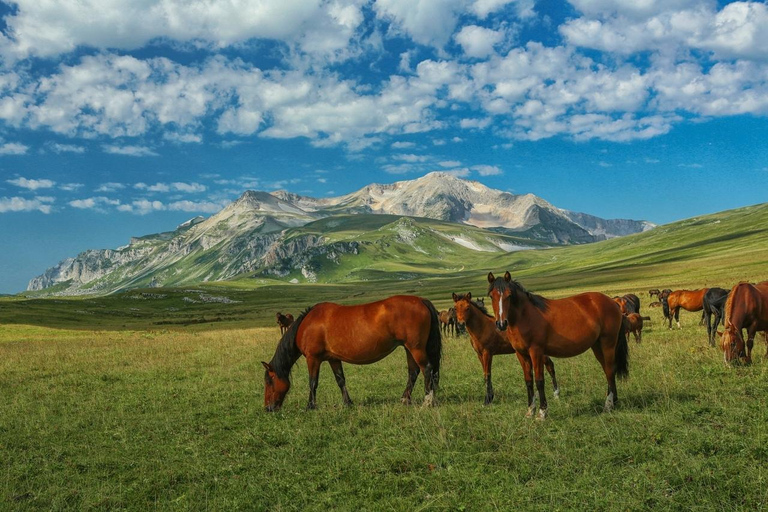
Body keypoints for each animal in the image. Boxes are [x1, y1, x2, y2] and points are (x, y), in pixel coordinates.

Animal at [264, 294, 440, 410]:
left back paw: (427, 401)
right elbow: (340, 380)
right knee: (413, 372)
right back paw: (405, 399)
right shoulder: (333, 359)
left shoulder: (313, 359)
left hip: (415, 348)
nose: (268, 408)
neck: (307, 325)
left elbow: (312, 382)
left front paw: (310, 406)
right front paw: (348, 402)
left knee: (427, 369)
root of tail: (421, 300)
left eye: (269, 381)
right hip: (409, 348)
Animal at [488, 270, 628, 418]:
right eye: (491, 296)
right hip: (597, 346)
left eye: (509, 295)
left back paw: (608, 405)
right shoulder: (521, 354)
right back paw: (614, 401)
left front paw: (542, 412)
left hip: (608, 344)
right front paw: (530, 411)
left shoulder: (536, 352)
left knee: (610, 370)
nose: (501, 324)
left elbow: (539, 381)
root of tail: (613, 302)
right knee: (608, 371)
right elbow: (528, 381)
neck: (525, 316)